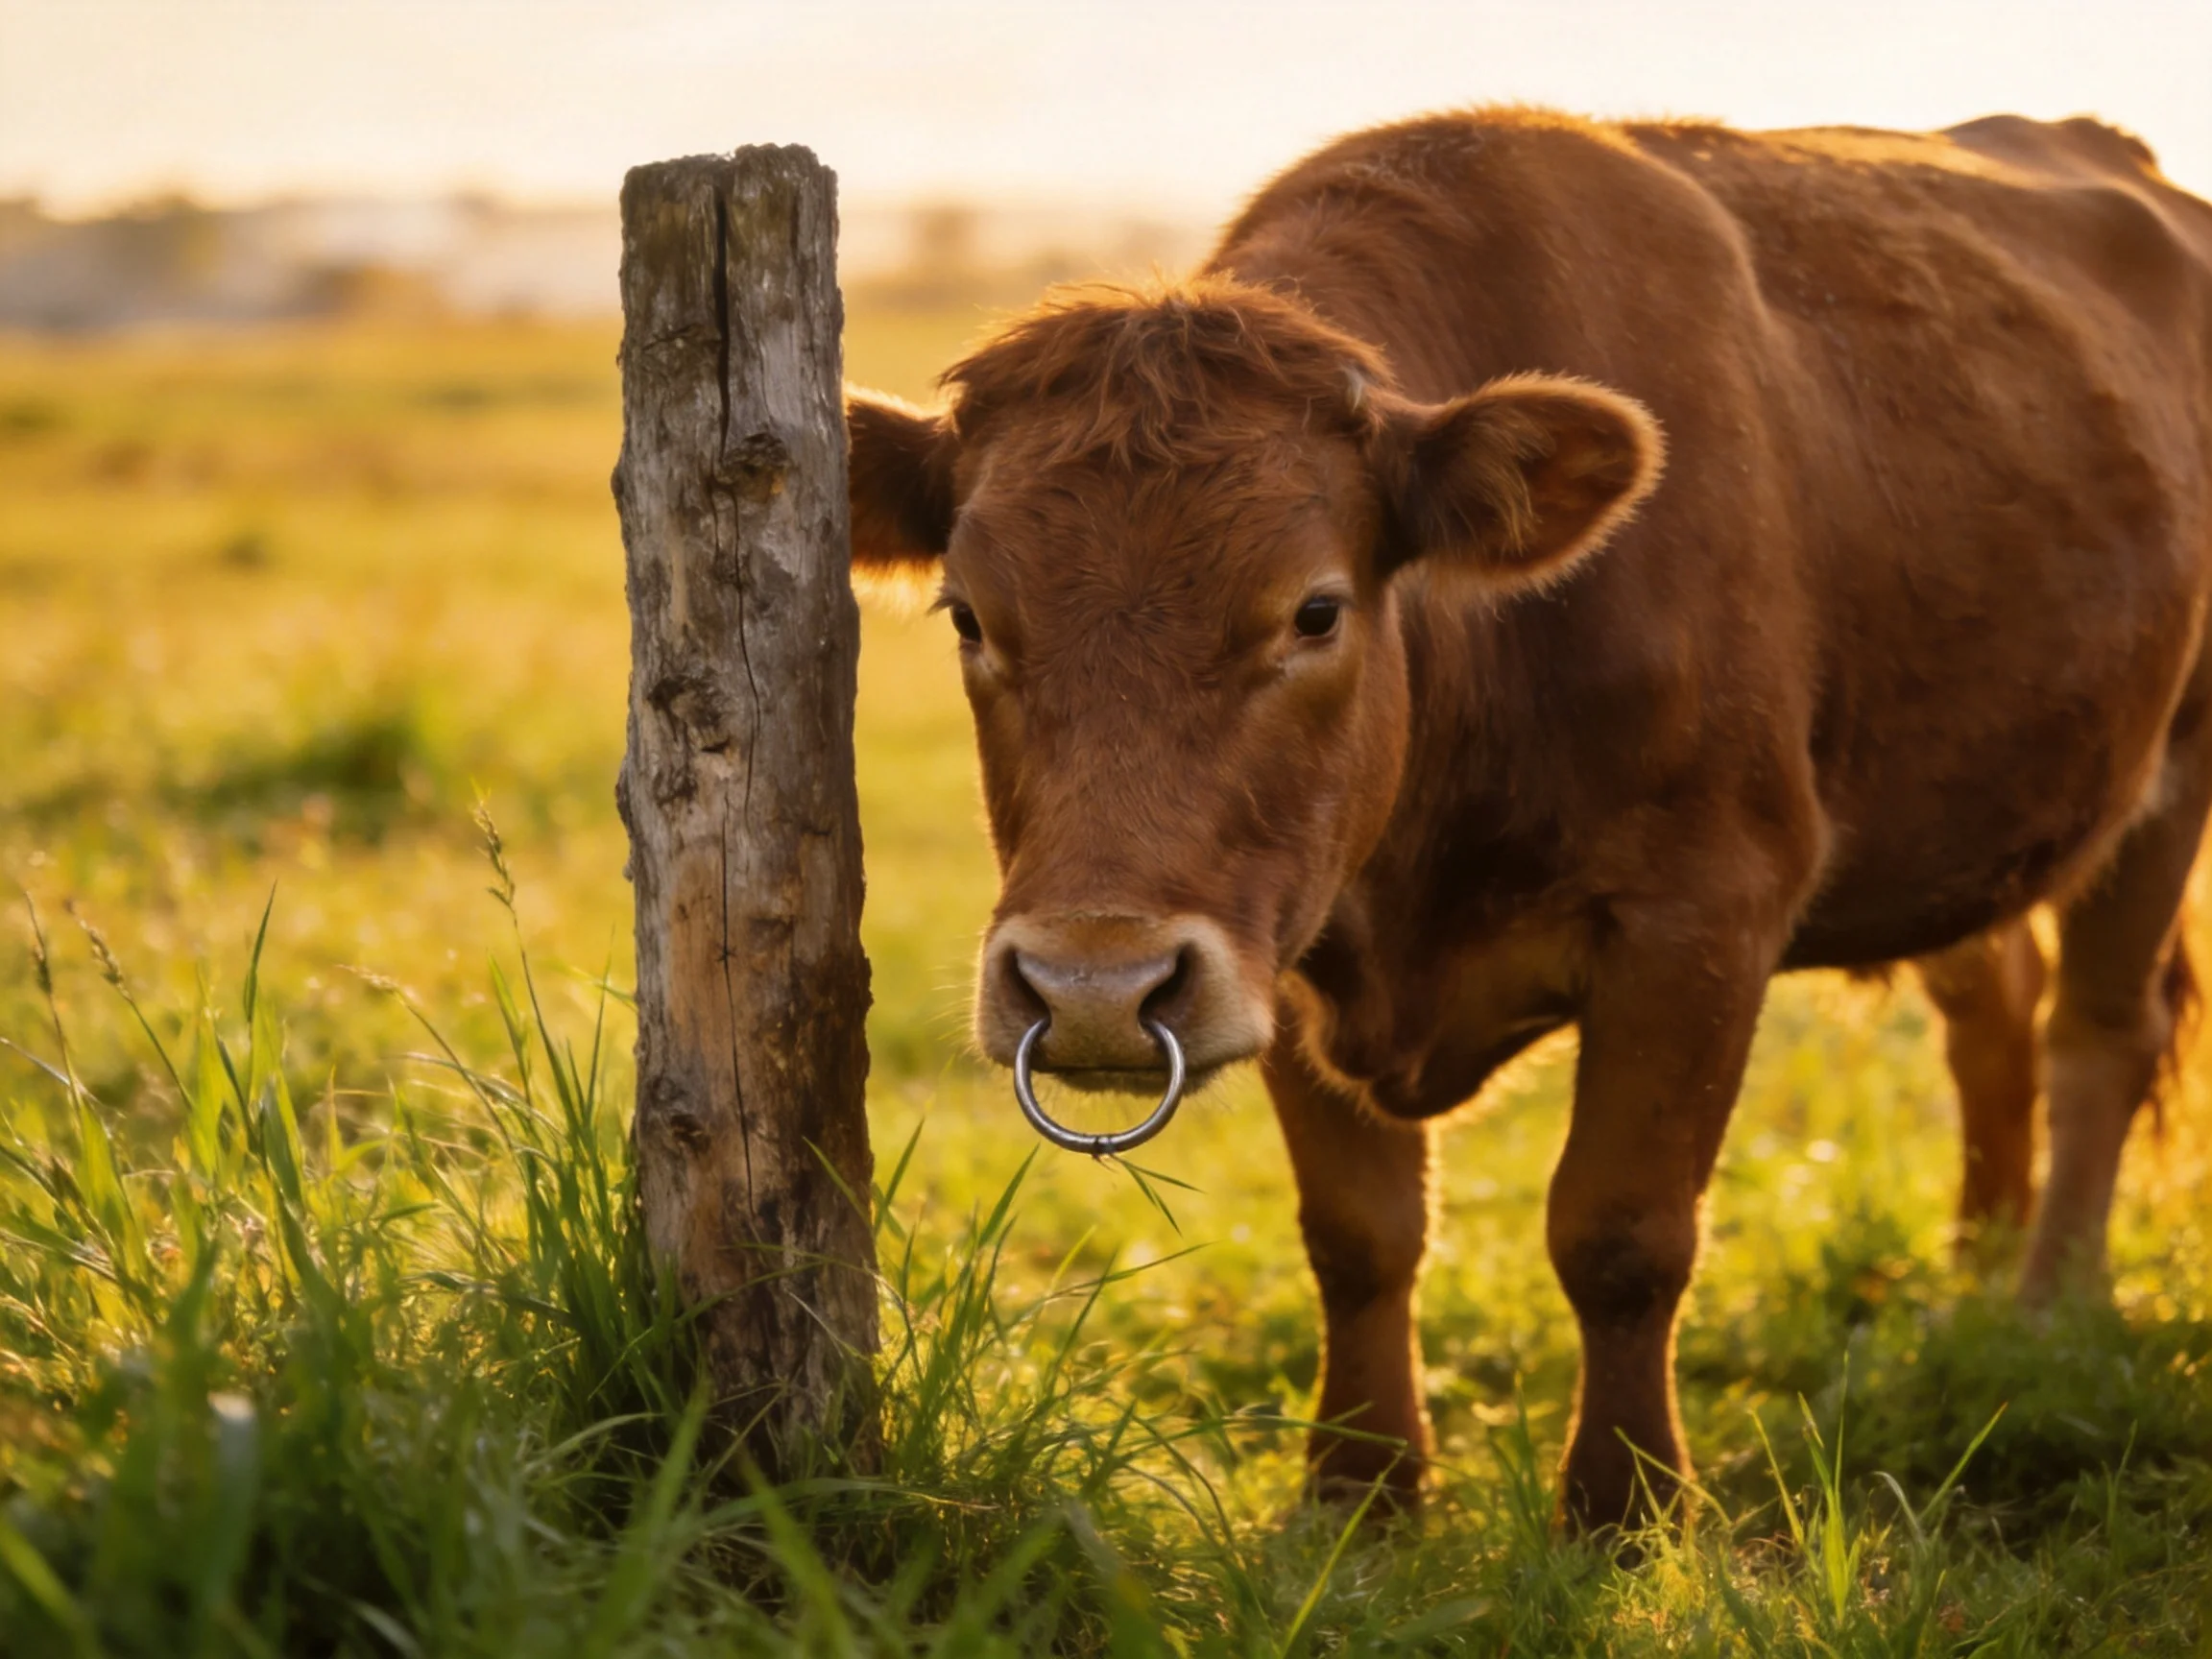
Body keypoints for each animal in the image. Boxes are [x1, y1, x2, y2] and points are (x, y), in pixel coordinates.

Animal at [843, 108, 2212, 1533]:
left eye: (1315, 611)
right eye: (969, 616)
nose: (1097, 990)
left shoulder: (1701, 916)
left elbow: (1620, 1231)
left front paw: (1626, 1507)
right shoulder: (1280, 934)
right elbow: (1360, 1235)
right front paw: (1362, 1488)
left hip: (2175, 761)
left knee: (2099, 1033)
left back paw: (2050, 1310)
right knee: (1993, 1015)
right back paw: (1976, 1271)